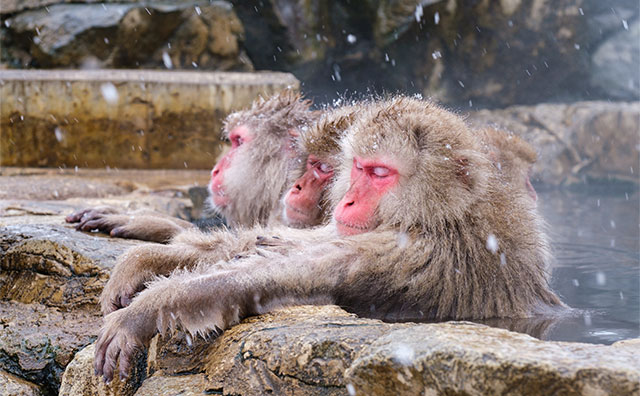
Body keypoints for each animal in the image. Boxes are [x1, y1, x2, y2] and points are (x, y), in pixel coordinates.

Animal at [92, 95, 564, 380]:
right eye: (357, 167)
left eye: (379, 173)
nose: (348, 200)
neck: (445, 216)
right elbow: (264, 244)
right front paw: (146, 255)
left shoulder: (410, 253)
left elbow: (271, 280)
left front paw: (142, 311)